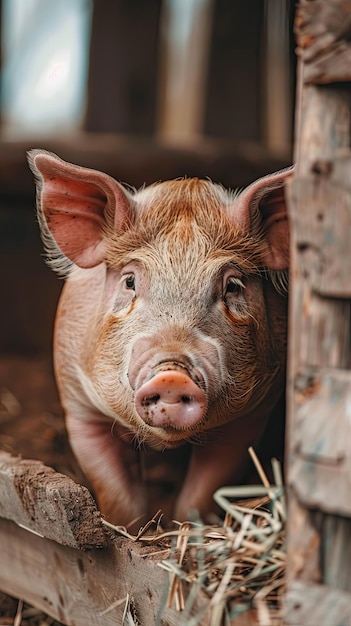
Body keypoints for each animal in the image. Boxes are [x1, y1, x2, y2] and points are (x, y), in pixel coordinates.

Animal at [27, 150, 292, 528]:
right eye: (129, 281)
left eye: (233, 286)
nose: (172, 374)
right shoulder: (80, 408)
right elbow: (118, 497)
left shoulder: (248, 419)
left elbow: (203, 492)